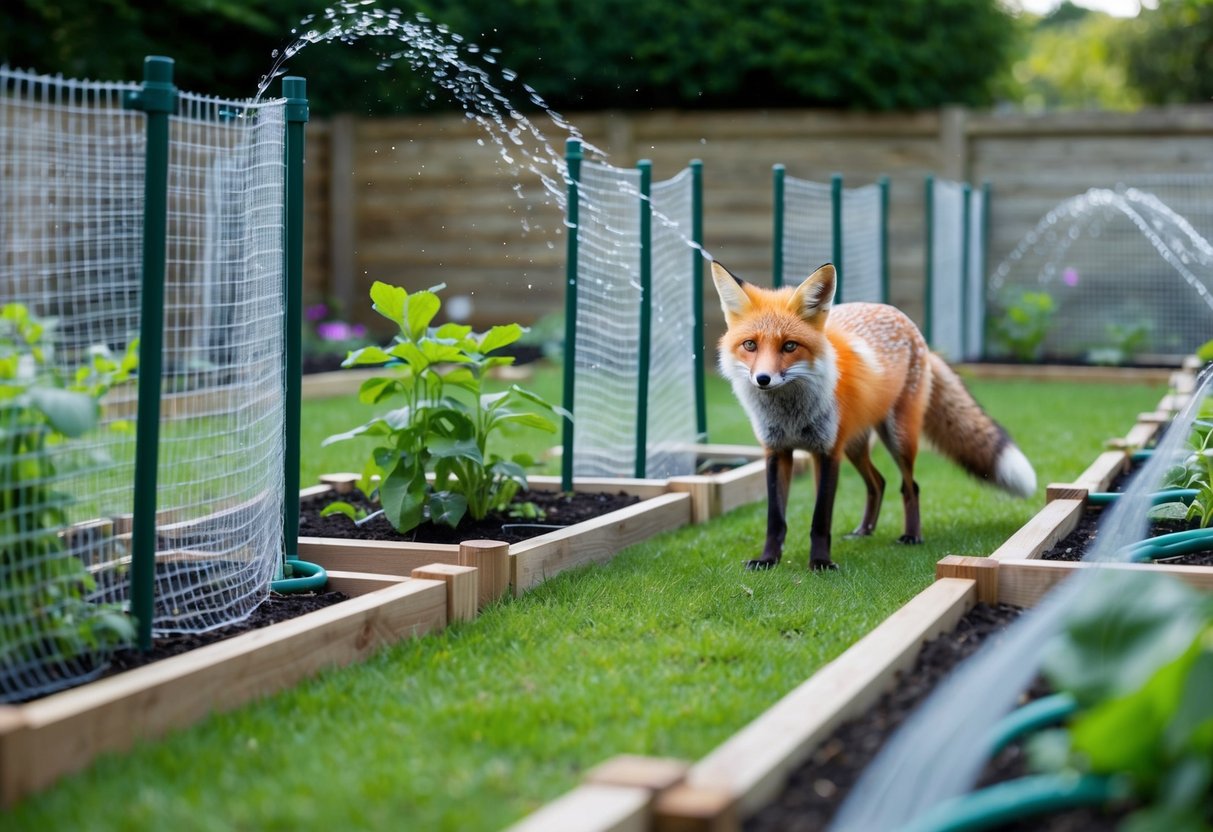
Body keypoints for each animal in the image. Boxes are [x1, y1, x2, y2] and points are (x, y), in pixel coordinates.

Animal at [711, 260, 1036, 571]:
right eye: (750, 345)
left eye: (789, 346)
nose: (762, 379)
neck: (791, 415)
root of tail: (909, 325)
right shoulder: (777, 451)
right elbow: (775, 518)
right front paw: (768, 560)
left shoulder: (828, 451)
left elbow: (820, 518)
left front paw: (821, 563)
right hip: (855, 445)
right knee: (877, 482)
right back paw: (864, 530)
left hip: (898, 438)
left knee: (910, 486)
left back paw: (912, 535)